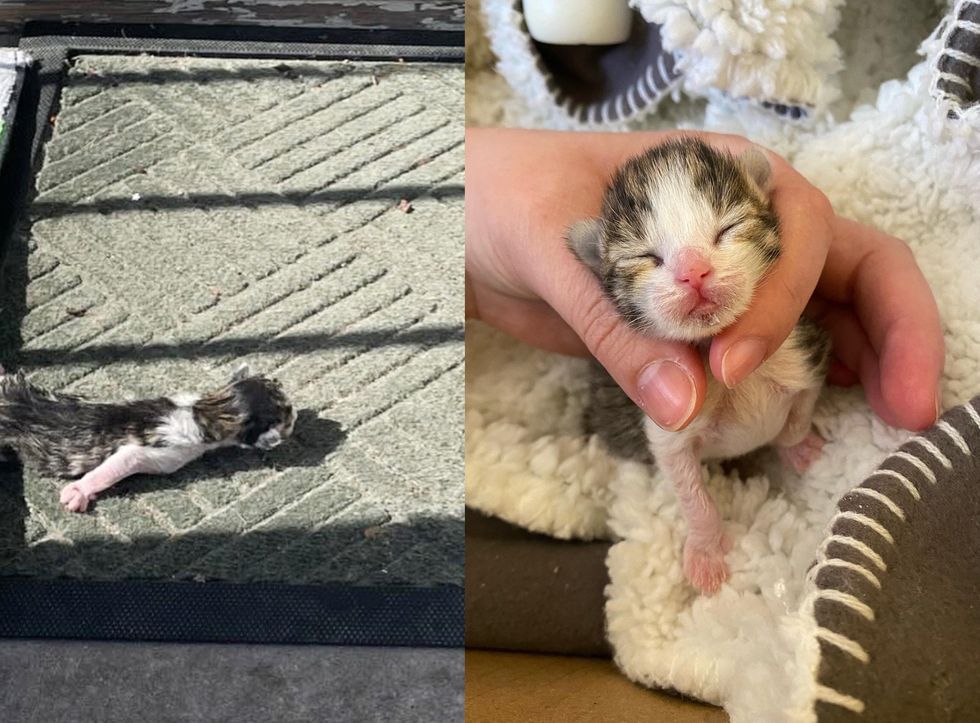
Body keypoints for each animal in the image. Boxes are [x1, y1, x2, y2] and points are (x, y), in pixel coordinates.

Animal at [0, 362, 296, 516]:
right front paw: (79, 491)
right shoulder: (157, 453)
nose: (296, 414)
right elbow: (114, 466)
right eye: (287, 412)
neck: (203, 411)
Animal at [572, 139, 832, 596]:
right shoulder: (668, 425)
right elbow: (693, 495)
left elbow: (799, 414)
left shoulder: (803, 354)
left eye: (727, 228)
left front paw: (799, 447)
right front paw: (706, 554)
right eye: (647, 257)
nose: (693, 271)